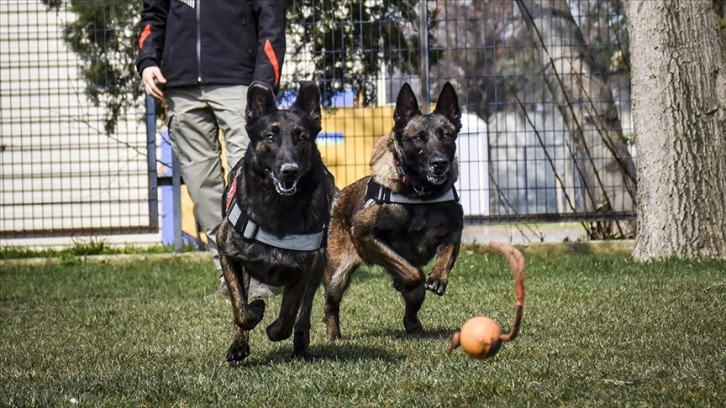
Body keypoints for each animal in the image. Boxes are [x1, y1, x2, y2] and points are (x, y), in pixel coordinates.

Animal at [216, 81, 338, 362]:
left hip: (318, 270)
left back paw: (301, 346)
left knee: (303, 315)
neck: (278, 207)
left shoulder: (302, 269)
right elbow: (241, 309)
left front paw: (273, 329)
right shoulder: (227, 252)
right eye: (270, 138)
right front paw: (255, 311)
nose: (289, 170)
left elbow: (288, 316)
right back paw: (239, 344)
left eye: (302, 137)